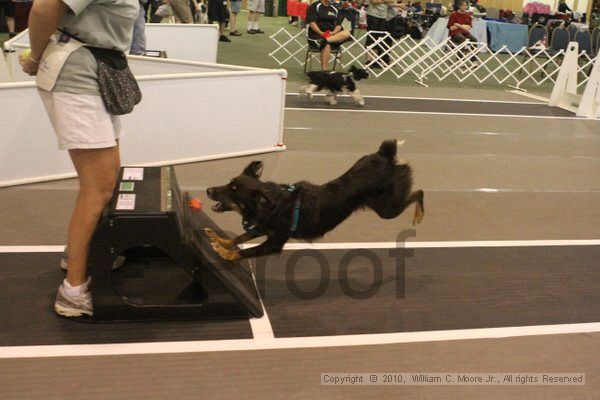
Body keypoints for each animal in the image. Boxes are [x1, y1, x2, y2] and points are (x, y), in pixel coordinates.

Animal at [205, 140, 422, 260]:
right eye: (229, 183)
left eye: (234, 190)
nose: (208, 190)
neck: (272, 206)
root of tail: (385, 156)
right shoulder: (261, 227)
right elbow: (238, 238)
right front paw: (221, 241)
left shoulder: (274, 242)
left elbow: (247, 251)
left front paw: (226, 253)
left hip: (388, 209)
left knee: (418, 193)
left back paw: (419, 216)